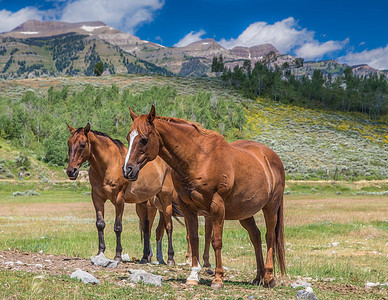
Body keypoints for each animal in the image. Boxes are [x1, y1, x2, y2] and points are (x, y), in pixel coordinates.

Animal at [67, 123, 180, 264]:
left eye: (82, 144)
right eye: (69, 144)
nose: (71, 171)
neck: (108, 165)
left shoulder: (119, 200)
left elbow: (118, 227)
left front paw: (118, 255)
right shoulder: (97, 198)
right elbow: (100, 224)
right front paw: (100, 252)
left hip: (165, 200)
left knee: (168, 226)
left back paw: (170, 258)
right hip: (143, 204)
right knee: (146, 227)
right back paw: (145, 257)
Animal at [123, 106, 286, 290]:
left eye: (143, 139)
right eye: (129, 137)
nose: (127, 170)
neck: (199, 159)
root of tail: (272, 157)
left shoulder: (216, 207)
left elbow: (216, 241)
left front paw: (218, 278)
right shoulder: (187, 208)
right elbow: (194, 238)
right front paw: (193, 275)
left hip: (270, 207)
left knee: (269, 237)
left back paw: (269, 277)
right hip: (244, 213)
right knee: (256, 237)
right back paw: (258, 277)